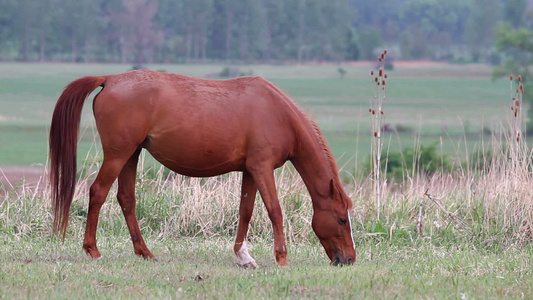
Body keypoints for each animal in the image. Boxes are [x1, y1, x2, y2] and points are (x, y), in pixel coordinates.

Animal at [50, 69, 356, 266]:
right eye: (342, 219)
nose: (349, 259)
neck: (277, 113)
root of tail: (110, 80)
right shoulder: (262, 168)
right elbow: (274, 211)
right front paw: (281, 257)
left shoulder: (250, 170)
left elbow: (245, 211)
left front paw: (243, 256)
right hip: (117, 155)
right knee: (98, 192)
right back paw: (93, 251)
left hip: (131, 155)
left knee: (126, 199)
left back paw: (145, 252)